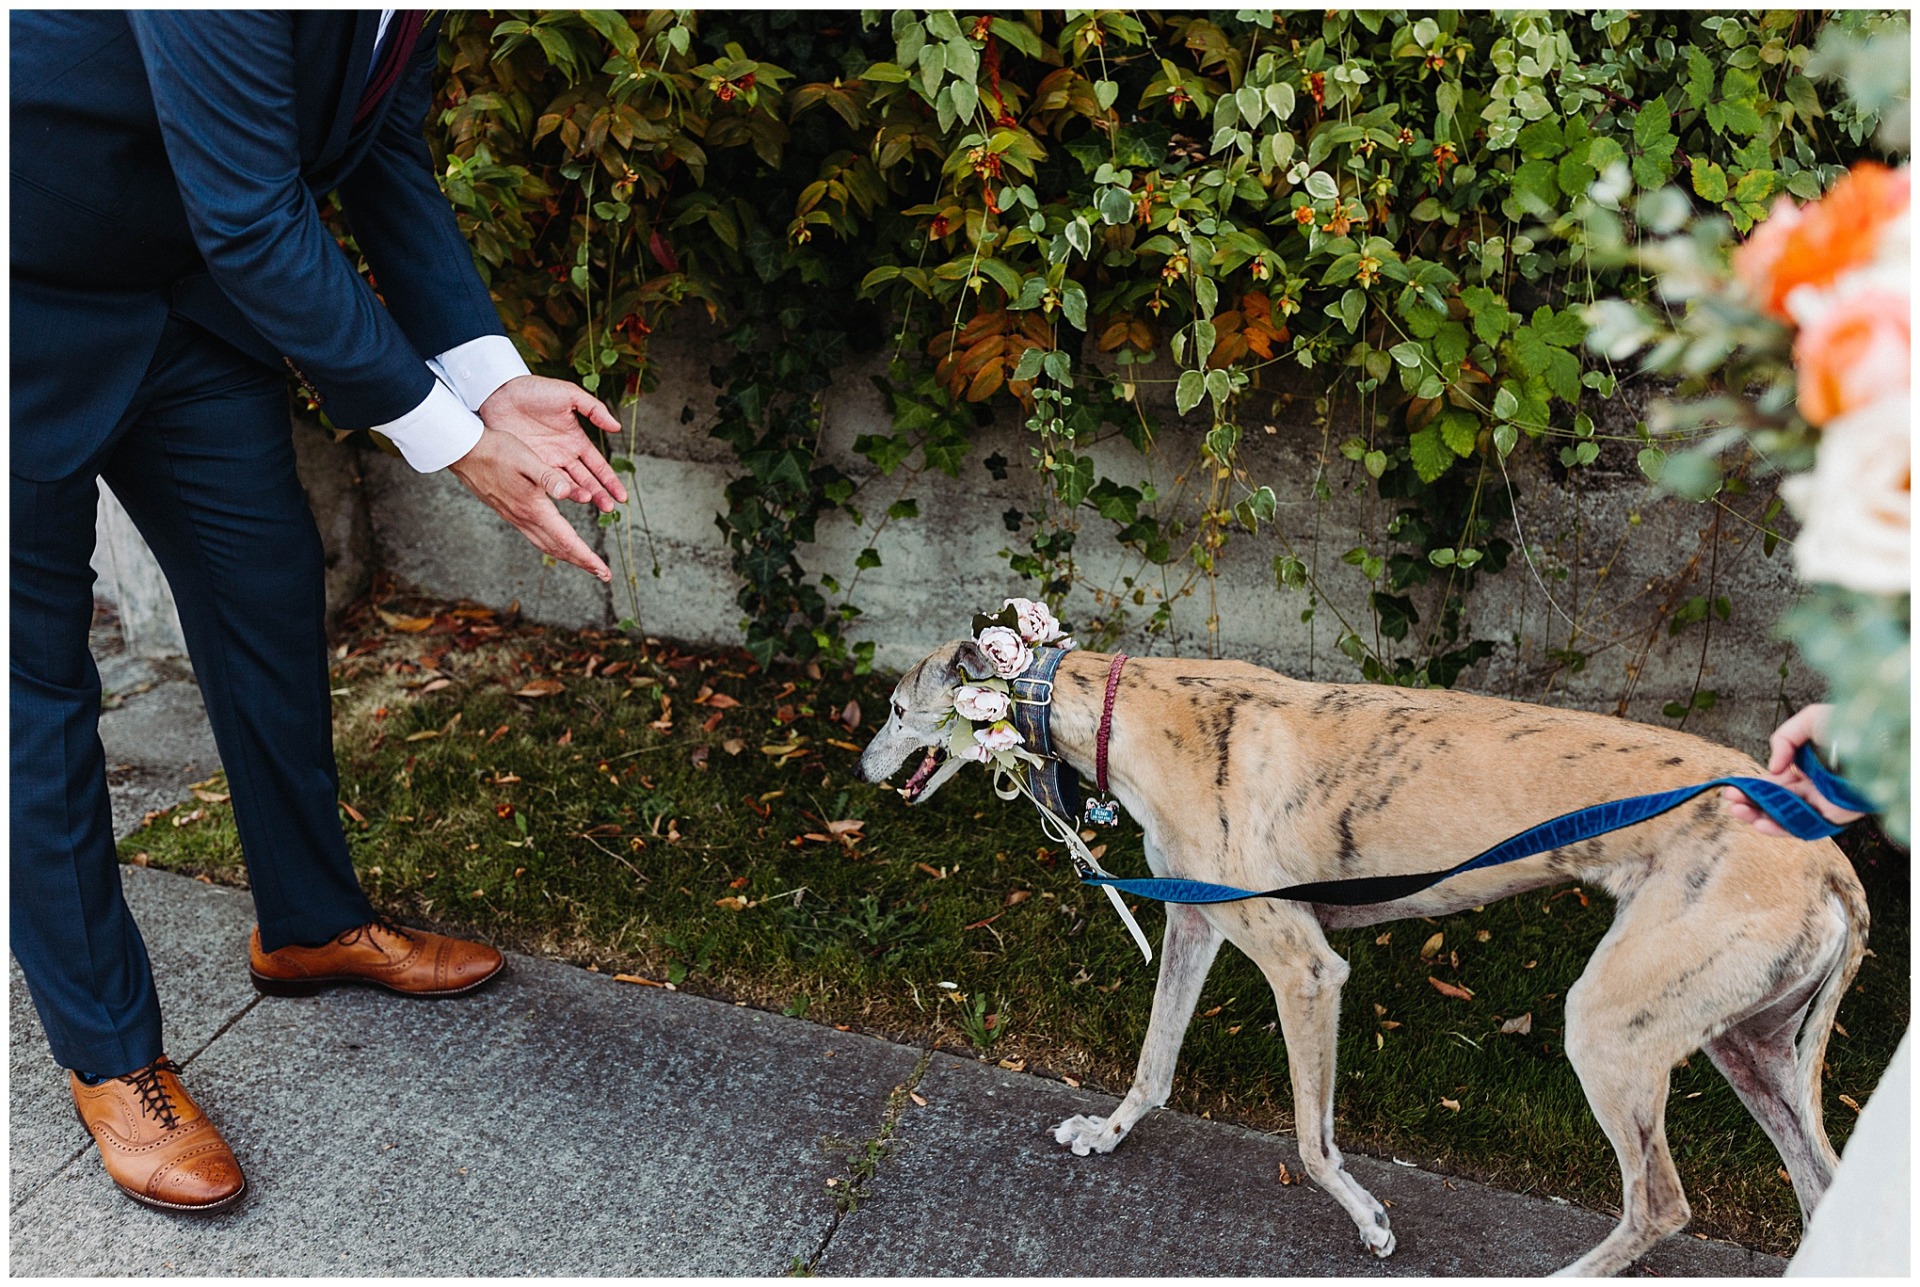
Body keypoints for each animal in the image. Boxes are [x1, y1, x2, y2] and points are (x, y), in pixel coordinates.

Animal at [852, 645, 1858, 1283]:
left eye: (897, 708)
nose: (862, 768)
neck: (1131, 709)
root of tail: (1835, 867)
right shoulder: (1194, 922)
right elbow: (1154, 1060)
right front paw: (1106, 1132)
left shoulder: (1305, 970)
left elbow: (1310, 1135)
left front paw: (1369, 1218)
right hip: (1753, 1049)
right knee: (1819, 1192)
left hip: (1612, 1029)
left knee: (1661, 1205)